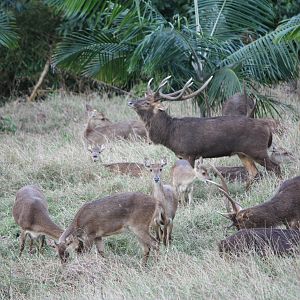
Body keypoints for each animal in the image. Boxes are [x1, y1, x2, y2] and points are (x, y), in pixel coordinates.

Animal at [128, 76, 282, 183]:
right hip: (242, 152)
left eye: (147, 103)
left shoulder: (190, 153)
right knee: (254, 173)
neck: (170, 134)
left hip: (257, 149)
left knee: (276, 167)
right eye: (141, 97)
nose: (130, 102)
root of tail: (267, 129)